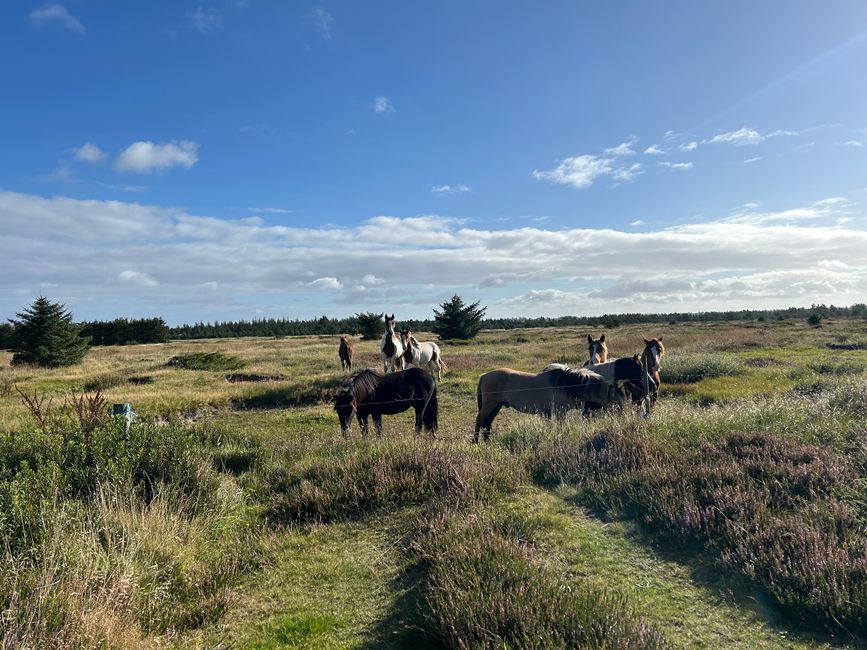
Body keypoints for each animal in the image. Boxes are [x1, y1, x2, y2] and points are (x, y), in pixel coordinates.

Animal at [474, 364, 624, 440]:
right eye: (616, 403)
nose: (621, 420)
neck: (566, 384)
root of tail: (484, 376)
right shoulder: (560, 411)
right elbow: (561, 426)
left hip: (497, 405)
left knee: (487, 422)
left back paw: (487, 441)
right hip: (490, 405)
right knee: (479, 420)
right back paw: (475, 441)